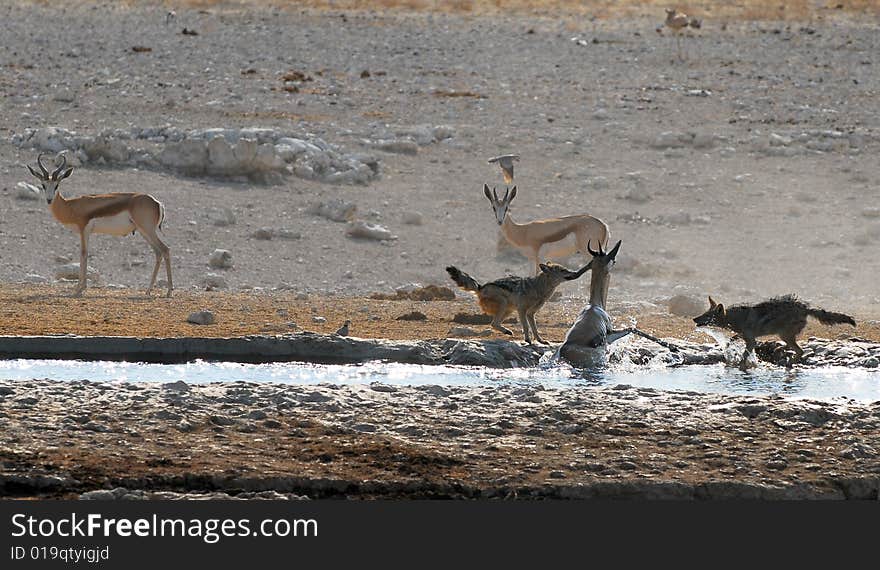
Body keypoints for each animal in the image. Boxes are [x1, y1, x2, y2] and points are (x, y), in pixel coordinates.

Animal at [26, 153, 172, 300]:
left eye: (57, 185)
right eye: (43, 185)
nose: (49, 200)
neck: (71, 206)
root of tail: (157, 202)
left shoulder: (84, 229)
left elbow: (83, 253)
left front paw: (79, 289)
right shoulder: (85, 231)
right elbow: (84, 254)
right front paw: (80, 288)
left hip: (148, 230)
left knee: (165, 249)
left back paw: (169, 291)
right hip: (144, 232)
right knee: (158, 252)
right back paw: (148, 290)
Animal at [482, 184, 612, 276]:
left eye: (506, 208)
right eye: (494, 207)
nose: (499, 221)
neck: (523, 231)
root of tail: (603, 225)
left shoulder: (540, 258)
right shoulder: (531, 259)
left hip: (590, 253)